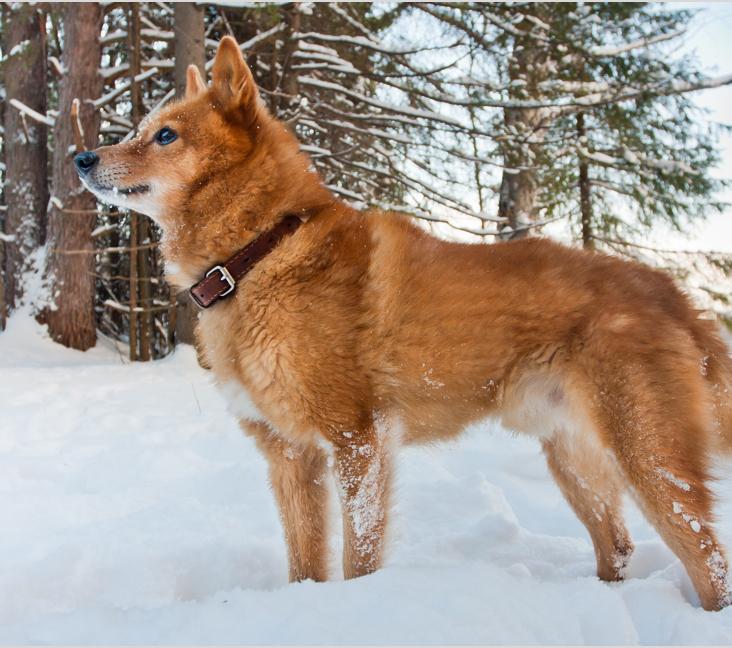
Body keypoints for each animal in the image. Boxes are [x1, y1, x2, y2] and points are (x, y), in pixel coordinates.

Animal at [73, 35, 732, 612]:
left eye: (165, 135)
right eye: (141, 129)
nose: (81, 156)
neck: (258, 253)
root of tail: (670, 291)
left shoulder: (359, 442)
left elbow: (358, 560)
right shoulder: (290, 458)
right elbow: (304, 564)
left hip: (649, 458)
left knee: (709, 561)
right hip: (574, 462)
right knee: (617, 547)